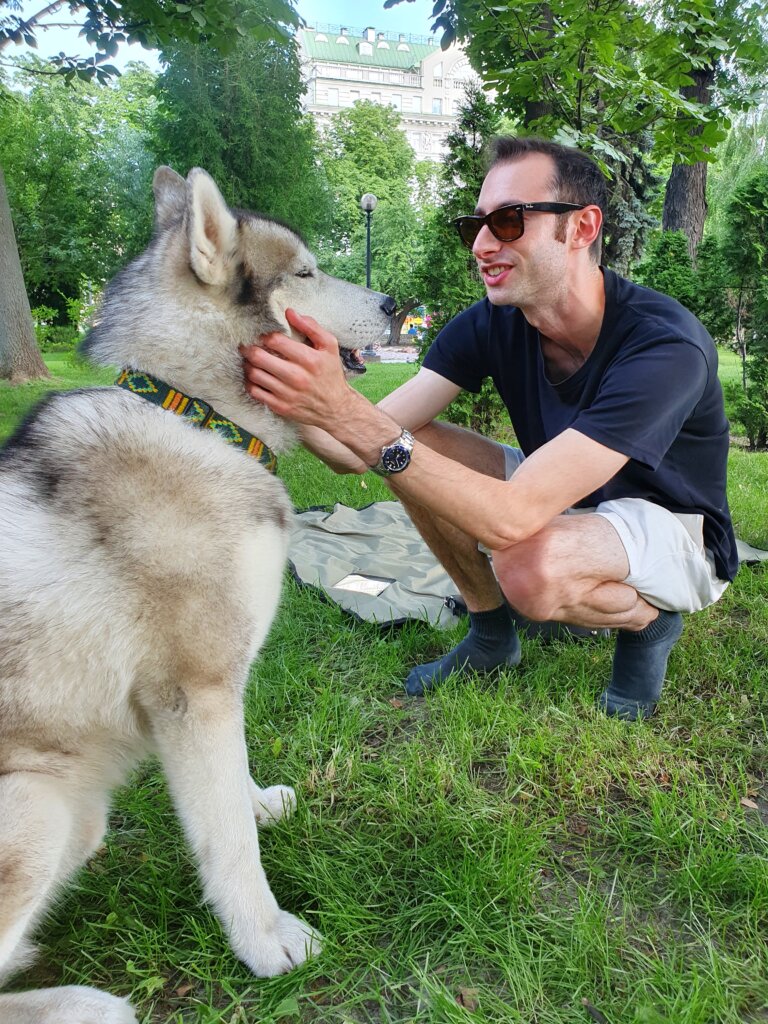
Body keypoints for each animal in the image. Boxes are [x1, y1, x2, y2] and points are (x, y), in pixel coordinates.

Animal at [0, 163, 397, 1019]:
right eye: (306, 273)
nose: (393, 303)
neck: (200, 419)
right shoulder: (197, 691)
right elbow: (229, 845)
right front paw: (267, 941)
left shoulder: (212, 697)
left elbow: (229, 795)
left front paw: (255, 801)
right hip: (41, 810)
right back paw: (84, 1004)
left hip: (75, 816)